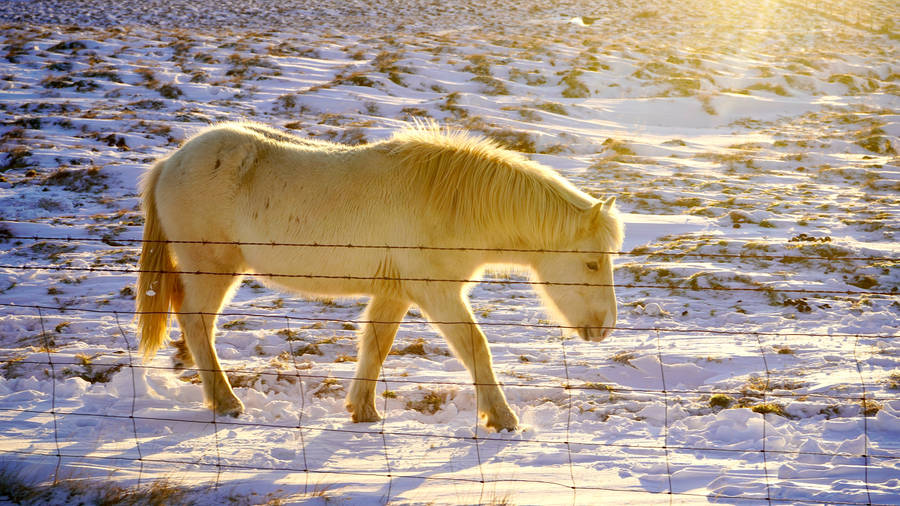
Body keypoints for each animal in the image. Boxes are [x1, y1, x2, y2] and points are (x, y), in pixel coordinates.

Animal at [135, 121, 624, 432]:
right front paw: (502, 418)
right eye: (592, 263)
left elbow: (376, 345)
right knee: (198, 322)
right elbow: (475, 348)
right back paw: (226, 400)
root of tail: (171, 161)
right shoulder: (438, 295)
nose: (605, 328)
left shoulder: (395, 293)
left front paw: (363, 411)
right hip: (213, 268)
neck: (450, 203)